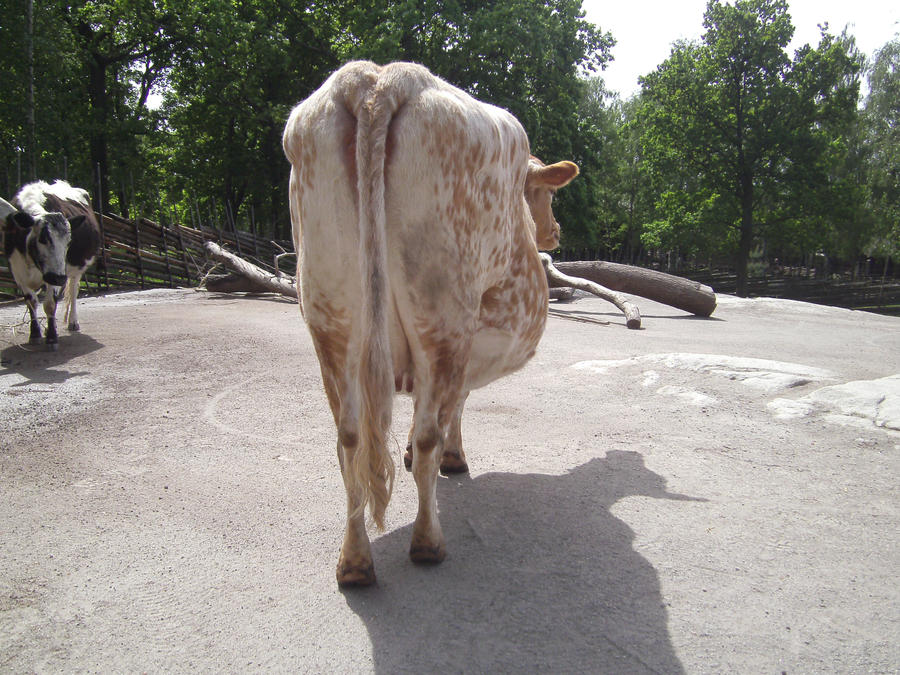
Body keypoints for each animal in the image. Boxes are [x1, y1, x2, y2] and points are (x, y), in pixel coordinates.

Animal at [3, 180, 101, 348]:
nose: (59, 278)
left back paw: (73, 322)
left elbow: (49, 304)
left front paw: (51, 337)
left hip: (75, 271)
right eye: (43, 238)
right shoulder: (17, 271)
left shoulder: (58, 273)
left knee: (73, 291)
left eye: (69, 242)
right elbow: (31, 301)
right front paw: (35, 334)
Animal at [282, 61, 578, 586]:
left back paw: (354, 563)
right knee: (426, 438)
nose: (555, 232)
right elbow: (453, 405)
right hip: (444, 318)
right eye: (544, 192)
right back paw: (427, 542)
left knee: (349, 441)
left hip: (330, 317)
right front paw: (455, 460)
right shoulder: (473, 341)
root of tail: (382, 78)